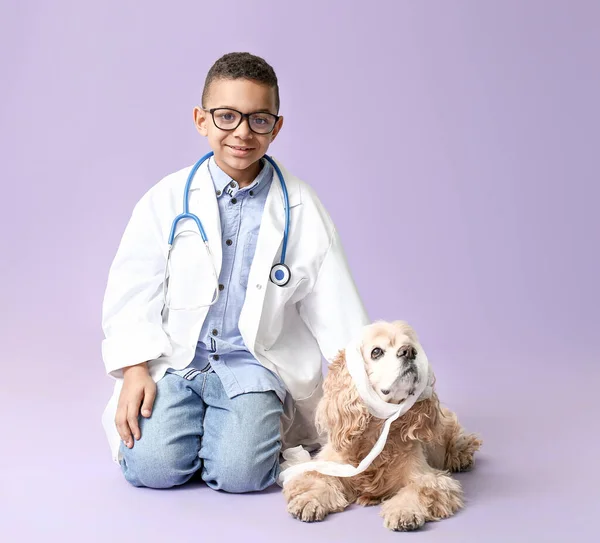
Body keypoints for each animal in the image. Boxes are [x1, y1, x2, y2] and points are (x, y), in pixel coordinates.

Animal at [282, 320, 482, 532]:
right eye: (376, 351)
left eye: (410, 345)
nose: (408, 351)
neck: (376, 430)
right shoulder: (330, 464)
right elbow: (317, 479)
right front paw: (309, 500)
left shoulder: (430, 477)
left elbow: (418, 489)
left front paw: (404, 511)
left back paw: (463, 456)